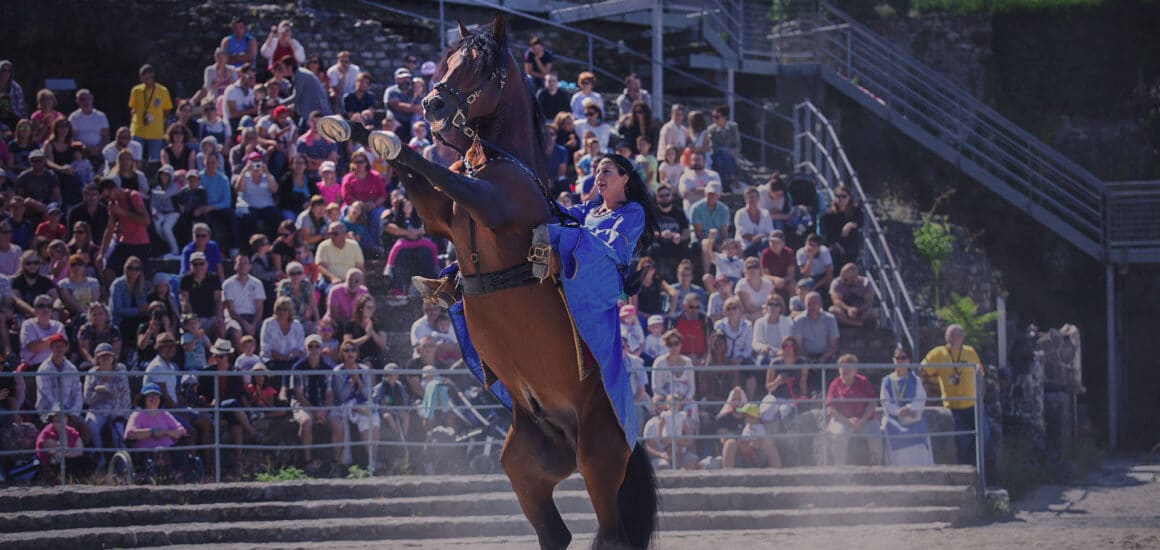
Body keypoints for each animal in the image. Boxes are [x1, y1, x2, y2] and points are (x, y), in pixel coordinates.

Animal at [322, 15, 658, 547]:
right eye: (448, 61)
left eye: (481, 66)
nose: (432, 105)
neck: (500, 163)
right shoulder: (439, 218)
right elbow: (422, 181)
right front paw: (356, 126)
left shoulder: (490, 205)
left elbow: (439, 171)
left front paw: (387, 138)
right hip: (526, 467)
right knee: (554, 533)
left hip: (599, 463)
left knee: (612, 534)